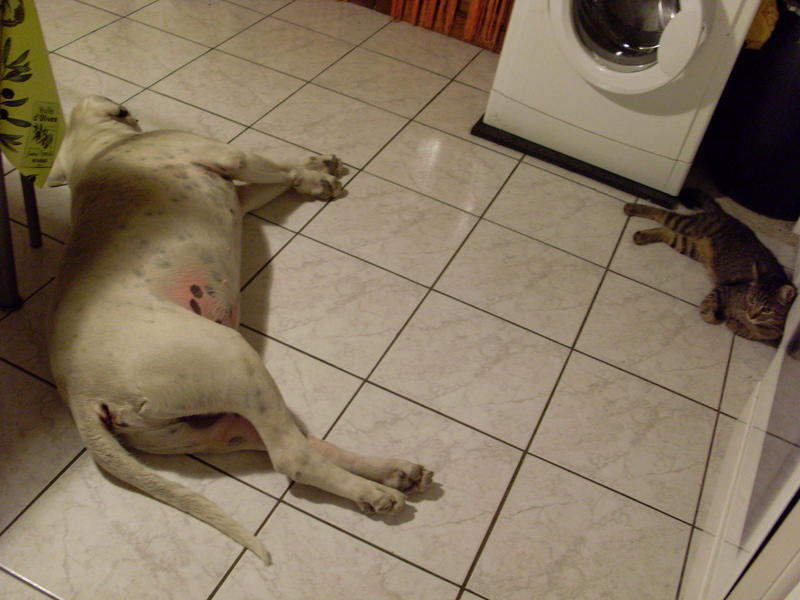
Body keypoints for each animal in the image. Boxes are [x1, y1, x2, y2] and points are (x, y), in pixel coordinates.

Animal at [46, 96, 433, 564]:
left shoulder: (242, 194)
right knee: (291, 458)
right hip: (232, 359)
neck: (94, 152)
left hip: (211, 428)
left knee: (295, 445)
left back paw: (390, 474)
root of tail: (81, 395)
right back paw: (373, 490)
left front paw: (313, 169)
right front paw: (314, 173)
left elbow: (276, 179)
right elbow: (273, 163)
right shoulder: (230, 158)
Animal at [623, 190, 796, 346]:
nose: (750, 314)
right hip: (688, 225)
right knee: (662, 213)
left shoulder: (769, 336)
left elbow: (751, 333)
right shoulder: (724, 289)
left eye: (767, 309)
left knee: (666, 232)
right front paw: (716, 315)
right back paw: (632, 208)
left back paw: (642, 236)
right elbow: (709, 311)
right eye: (752, 300)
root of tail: (726, 215)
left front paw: (736, 324)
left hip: (688, 245)